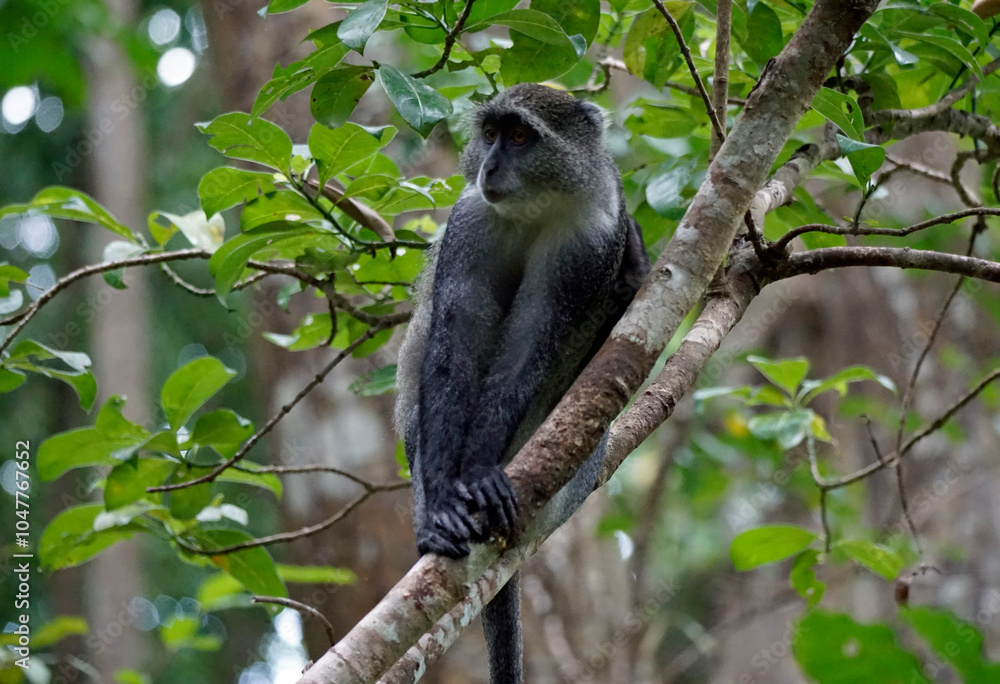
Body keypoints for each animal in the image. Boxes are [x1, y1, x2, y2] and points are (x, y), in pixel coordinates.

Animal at [394, 83, 650, 683]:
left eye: (518, 137)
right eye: (489, 134)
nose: (489, 166)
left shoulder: (588, 238)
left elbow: (530, 344)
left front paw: (479, 474)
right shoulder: (470, 221)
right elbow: (454, 344)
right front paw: (445, 505)